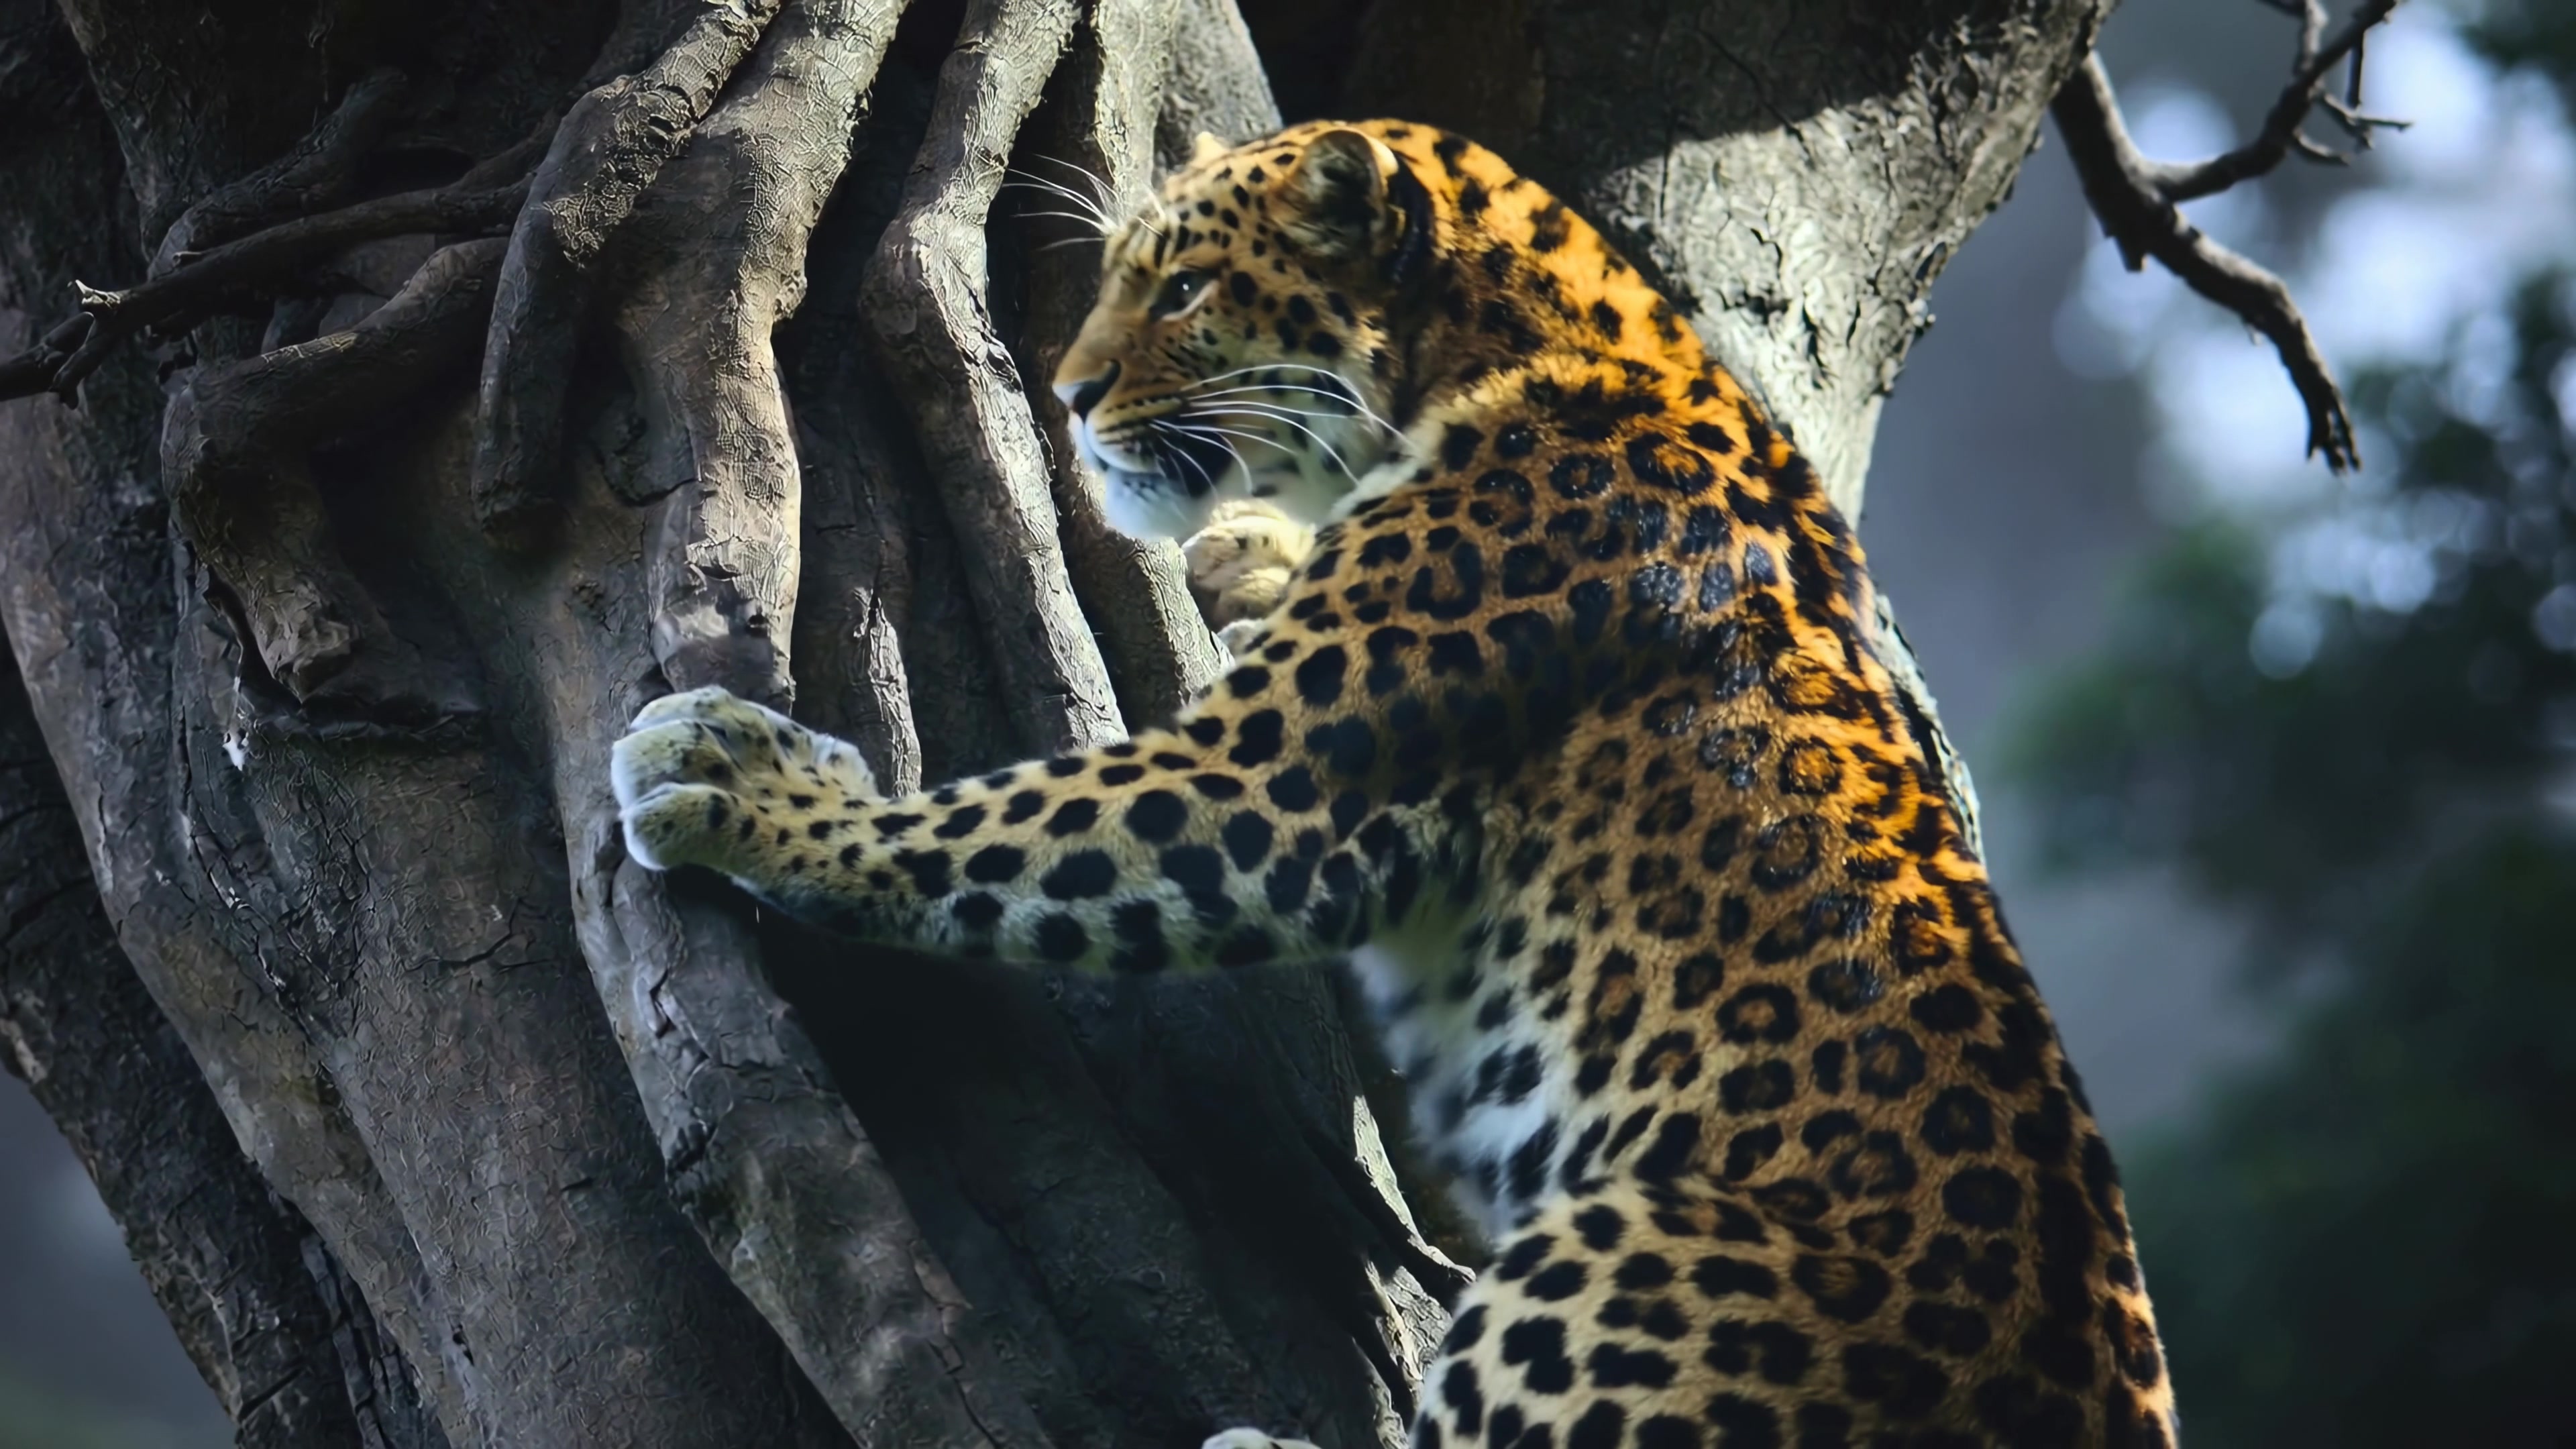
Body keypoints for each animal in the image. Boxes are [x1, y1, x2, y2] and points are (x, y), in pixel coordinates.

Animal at [612, 120, 2178, 1449]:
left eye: (1186, 289)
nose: (1066, 393)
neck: (1507, 353)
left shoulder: (1266, 783)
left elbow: (1001, 829)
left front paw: (743, 779)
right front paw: (1254, 556)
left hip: (1619, 1249)